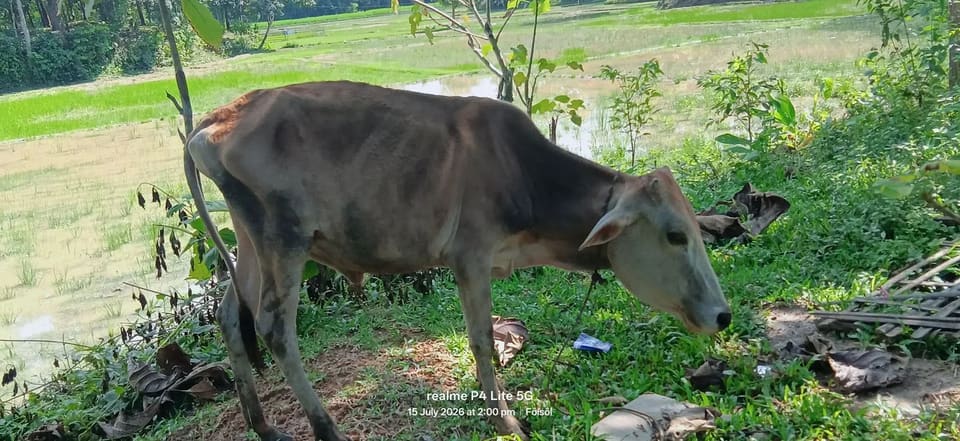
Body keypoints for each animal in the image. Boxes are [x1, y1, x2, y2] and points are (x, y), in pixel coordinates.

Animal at [183, 81, 731, 441]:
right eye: (675, 236)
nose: (722, 315)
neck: (523, 174)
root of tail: (217, 119)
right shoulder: (471, 257)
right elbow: (483, 339)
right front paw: (504, 419)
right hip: (284, 239)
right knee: (274, 328)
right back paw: (325, 428)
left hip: (251, 243)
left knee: (230, 316)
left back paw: (263, 425)